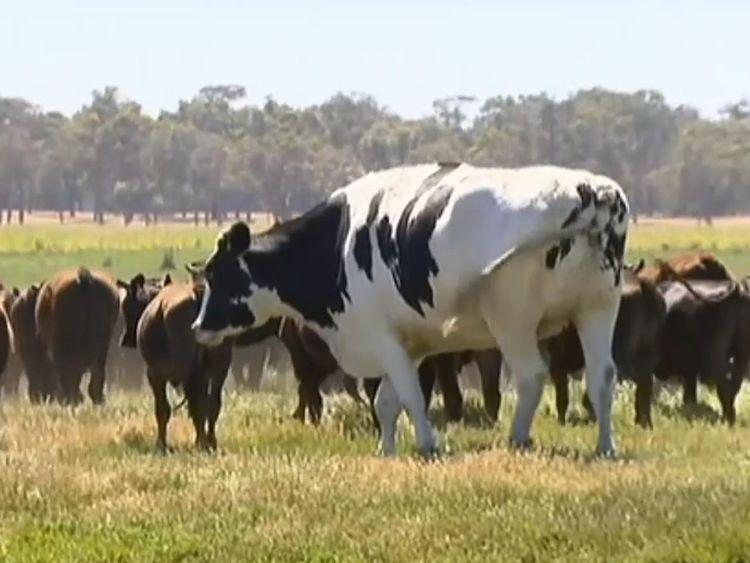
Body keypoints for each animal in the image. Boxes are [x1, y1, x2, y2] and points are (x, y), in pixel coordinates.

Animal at [188, 163, 630, 457]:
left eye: (217, 274)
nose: (197, 326)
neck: (337, 245)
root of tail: (590, 191)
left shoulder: (381, 336)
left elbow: (411, 397)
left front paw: (428, 445)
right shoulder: (409, 343)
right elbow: (387, 402)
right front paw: (387, 451)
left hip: (512, 316)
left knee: (532, 375)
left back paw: (517, 439)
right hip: (598, 307)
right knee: (602, 377)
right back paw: (606, 446)